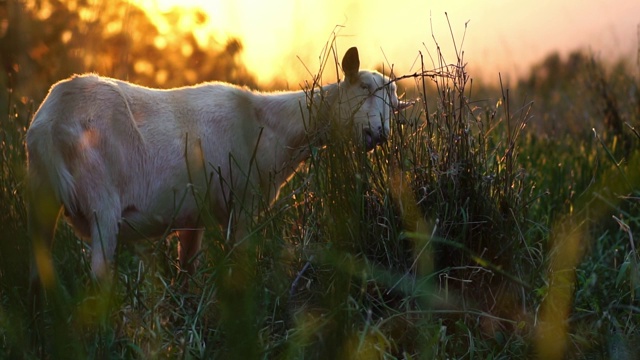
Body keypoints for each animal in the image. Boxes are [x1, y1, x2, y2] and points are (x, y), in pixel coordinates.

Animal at [26, 47, 410, 284]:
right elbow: (239, 261)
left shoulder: (193, 212)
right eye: (362, 88)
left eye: (394, 104)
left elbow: (187, 272)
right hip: (101, 201)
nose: (379, 134)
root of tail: (52, 120)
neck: (272, 125)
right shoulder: (244, 201)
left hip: (43, 195)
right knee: (98, 274)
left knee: (36, 269)